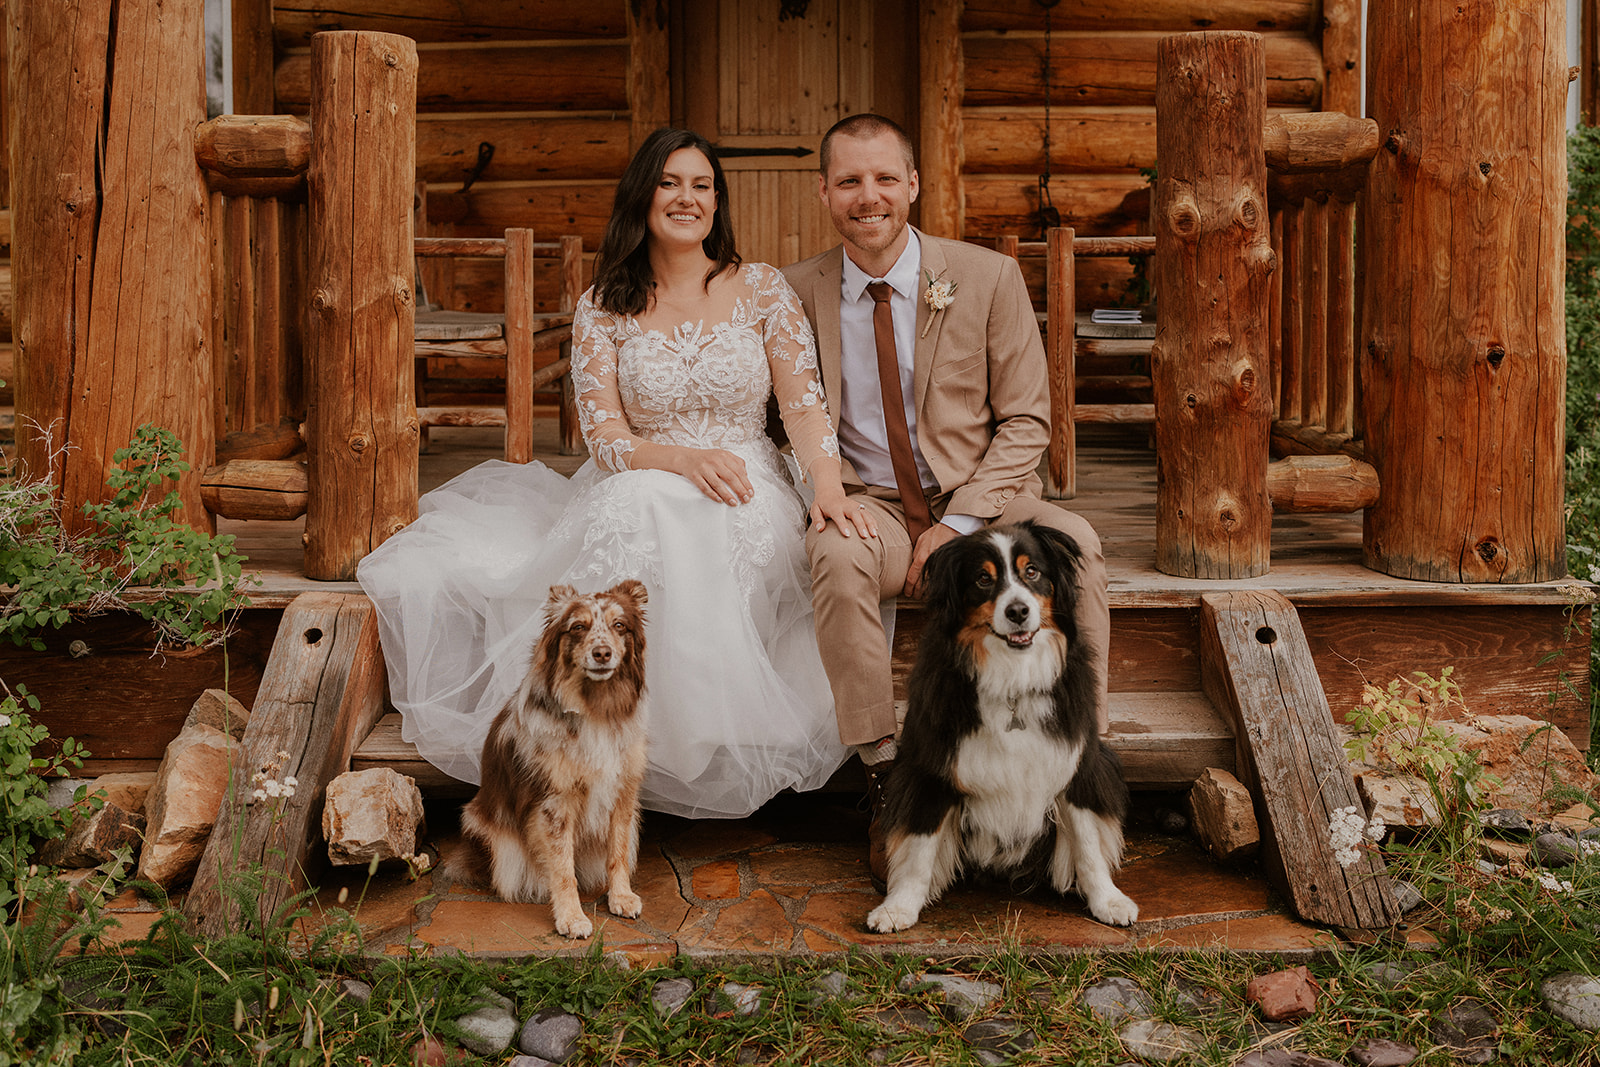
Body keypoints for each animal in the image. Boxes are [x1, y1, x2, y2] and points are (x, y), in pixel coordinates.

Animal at [864, 521, 1139, 927]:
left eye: (1032, 572)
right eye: (983, 579)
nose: (1018, 611)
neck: (1012, 678)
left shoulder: (1076, 764)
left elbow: (1088, 844)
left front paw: (1108, 901)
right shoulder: (932, 770)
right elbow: (920, 850)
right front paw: (899, 907)